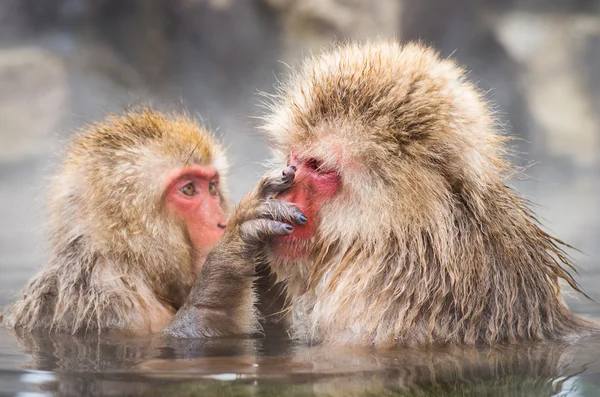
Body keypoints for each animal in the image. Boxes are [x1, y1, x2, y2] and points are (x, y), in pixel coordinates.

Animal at [165, 41, 596, 344]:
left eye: (317, 167)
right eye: (293, 161)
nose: (286, 197)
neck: (408, 238)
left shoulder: (368, 302)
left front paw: (234, 248)